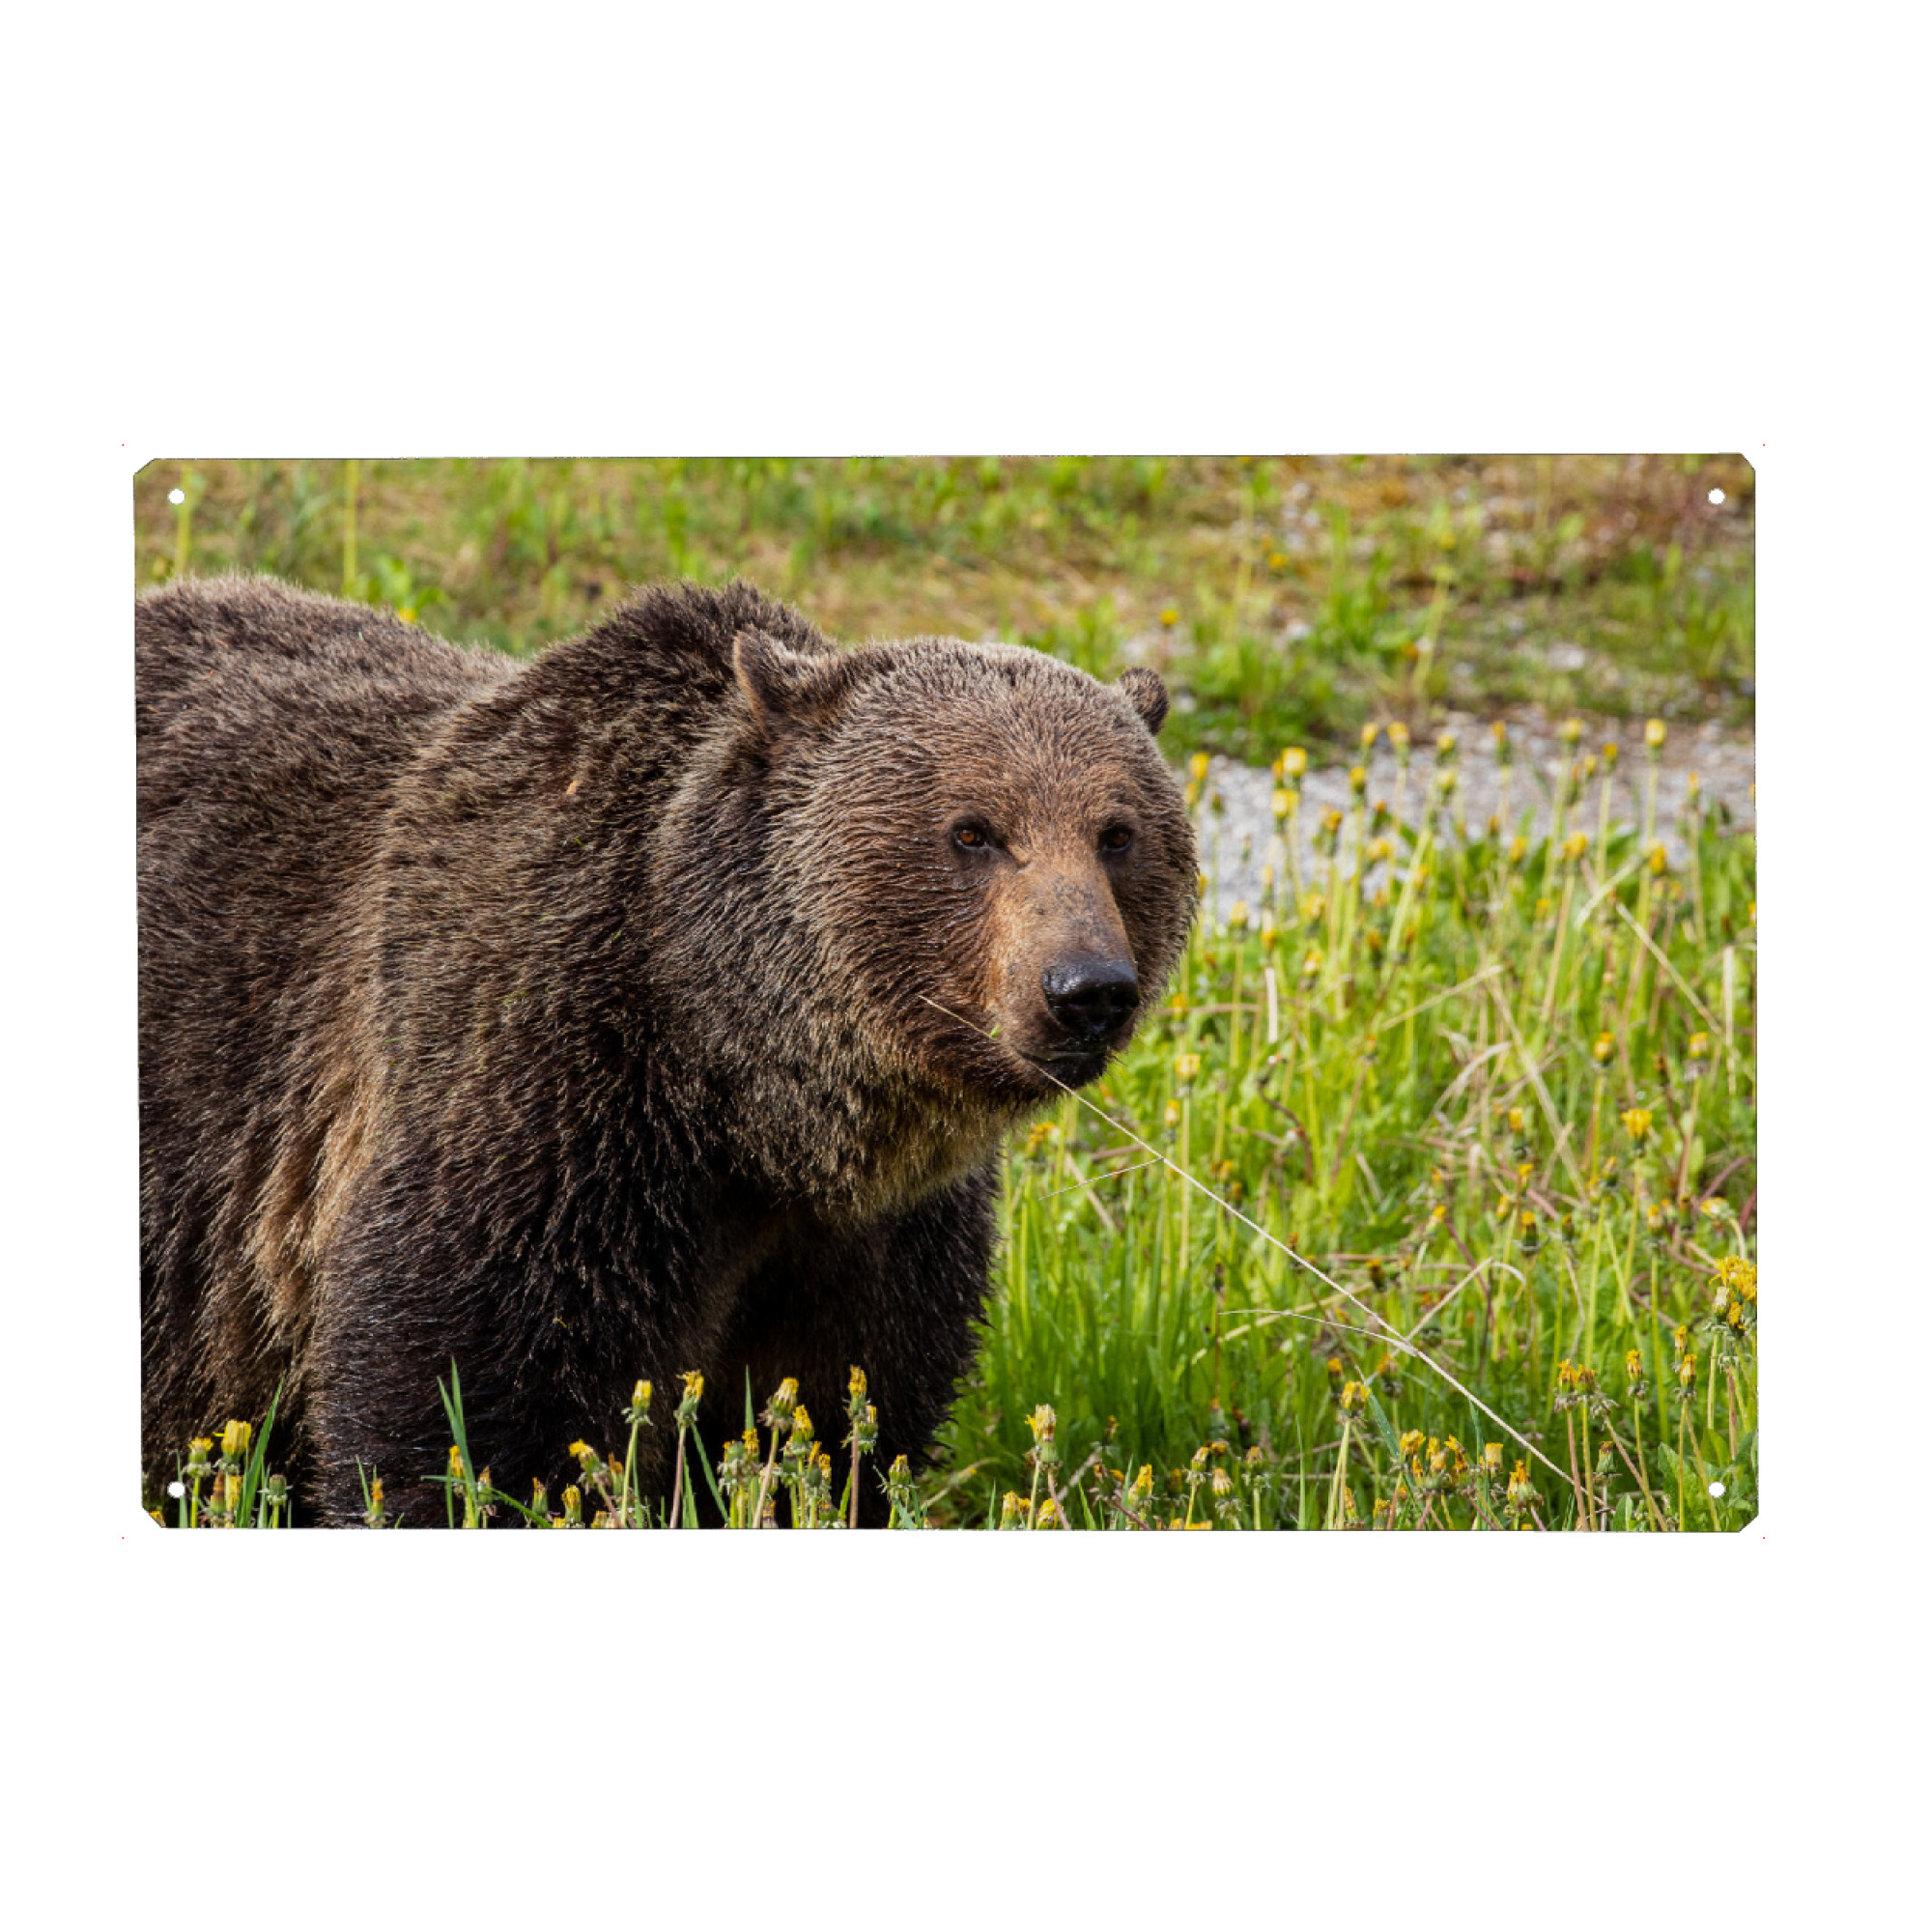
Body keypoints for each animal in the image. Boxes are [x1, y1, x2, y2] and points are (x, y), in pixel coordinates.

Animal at [138, 574, 1196, 1525]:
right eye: (973, 831)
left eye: (1116, 832)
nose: (1086, 990)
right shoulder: (541, 1113)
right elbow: (467, 1408)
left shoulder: (869, 1242)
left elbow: (834, 1423)